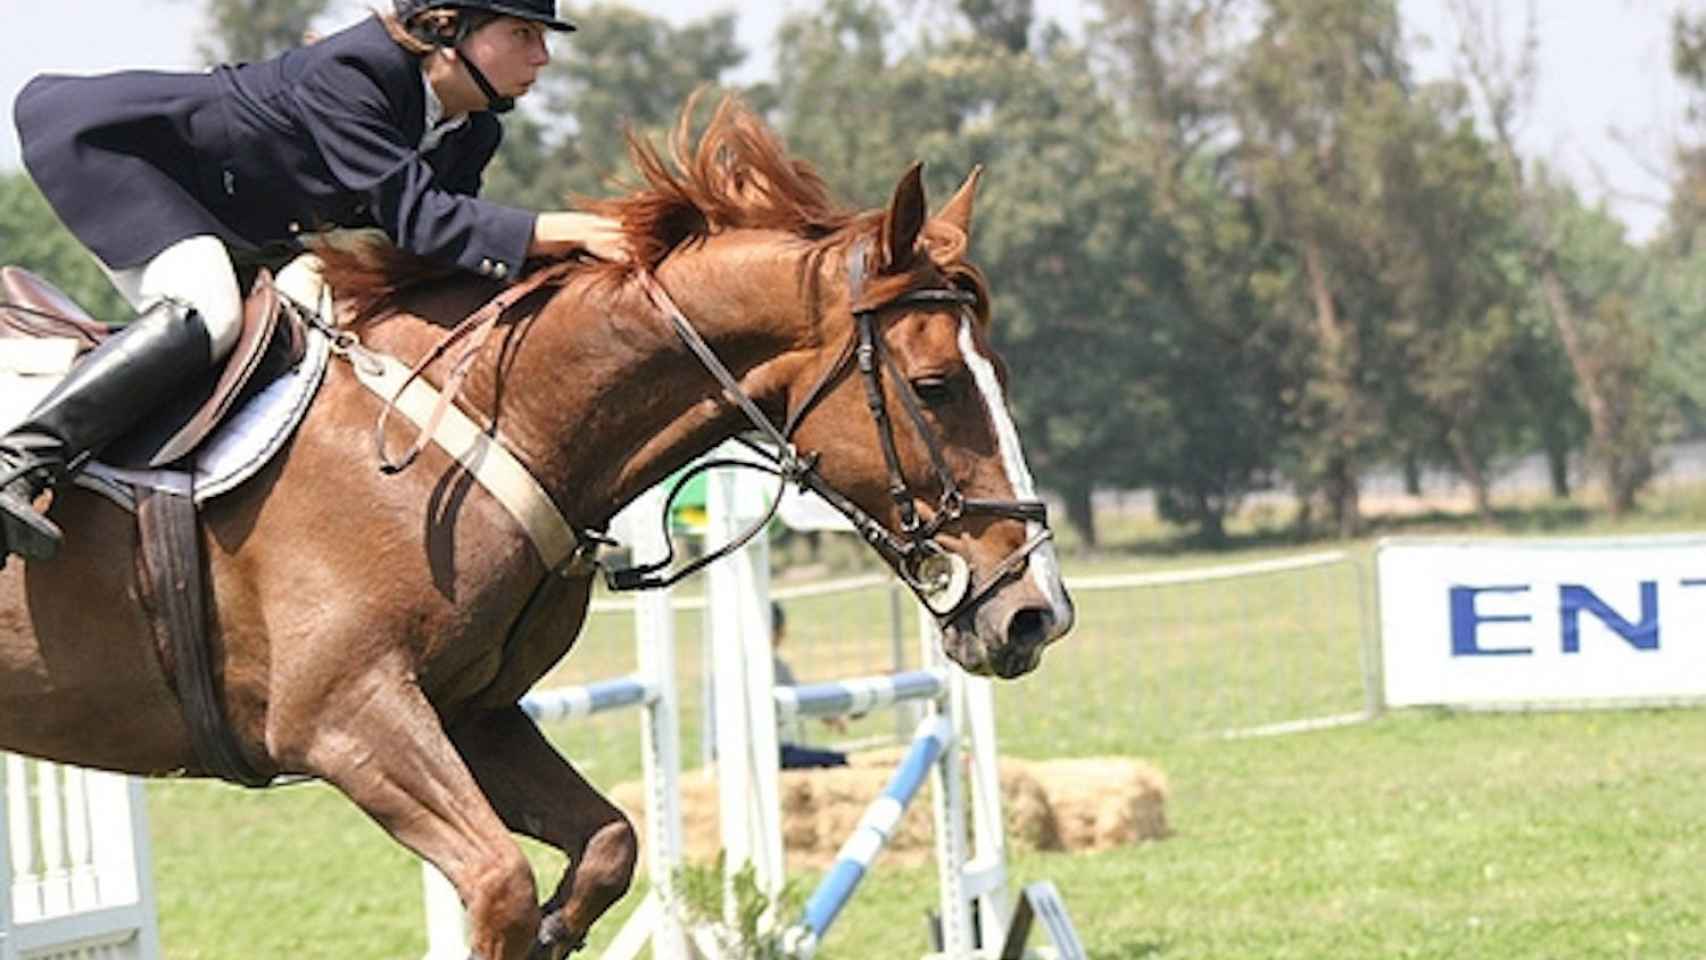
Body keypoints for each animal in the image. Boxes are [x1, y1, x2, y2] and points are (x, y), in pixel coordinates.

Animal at [0, 99, 1071, 960]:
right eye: (934, 386)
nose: (1036, 613)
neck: (481, 422)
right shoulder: (345, 716)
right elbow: (499, 887)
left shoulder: (470, 714)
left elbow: (605, 848)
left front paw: (563, 926)